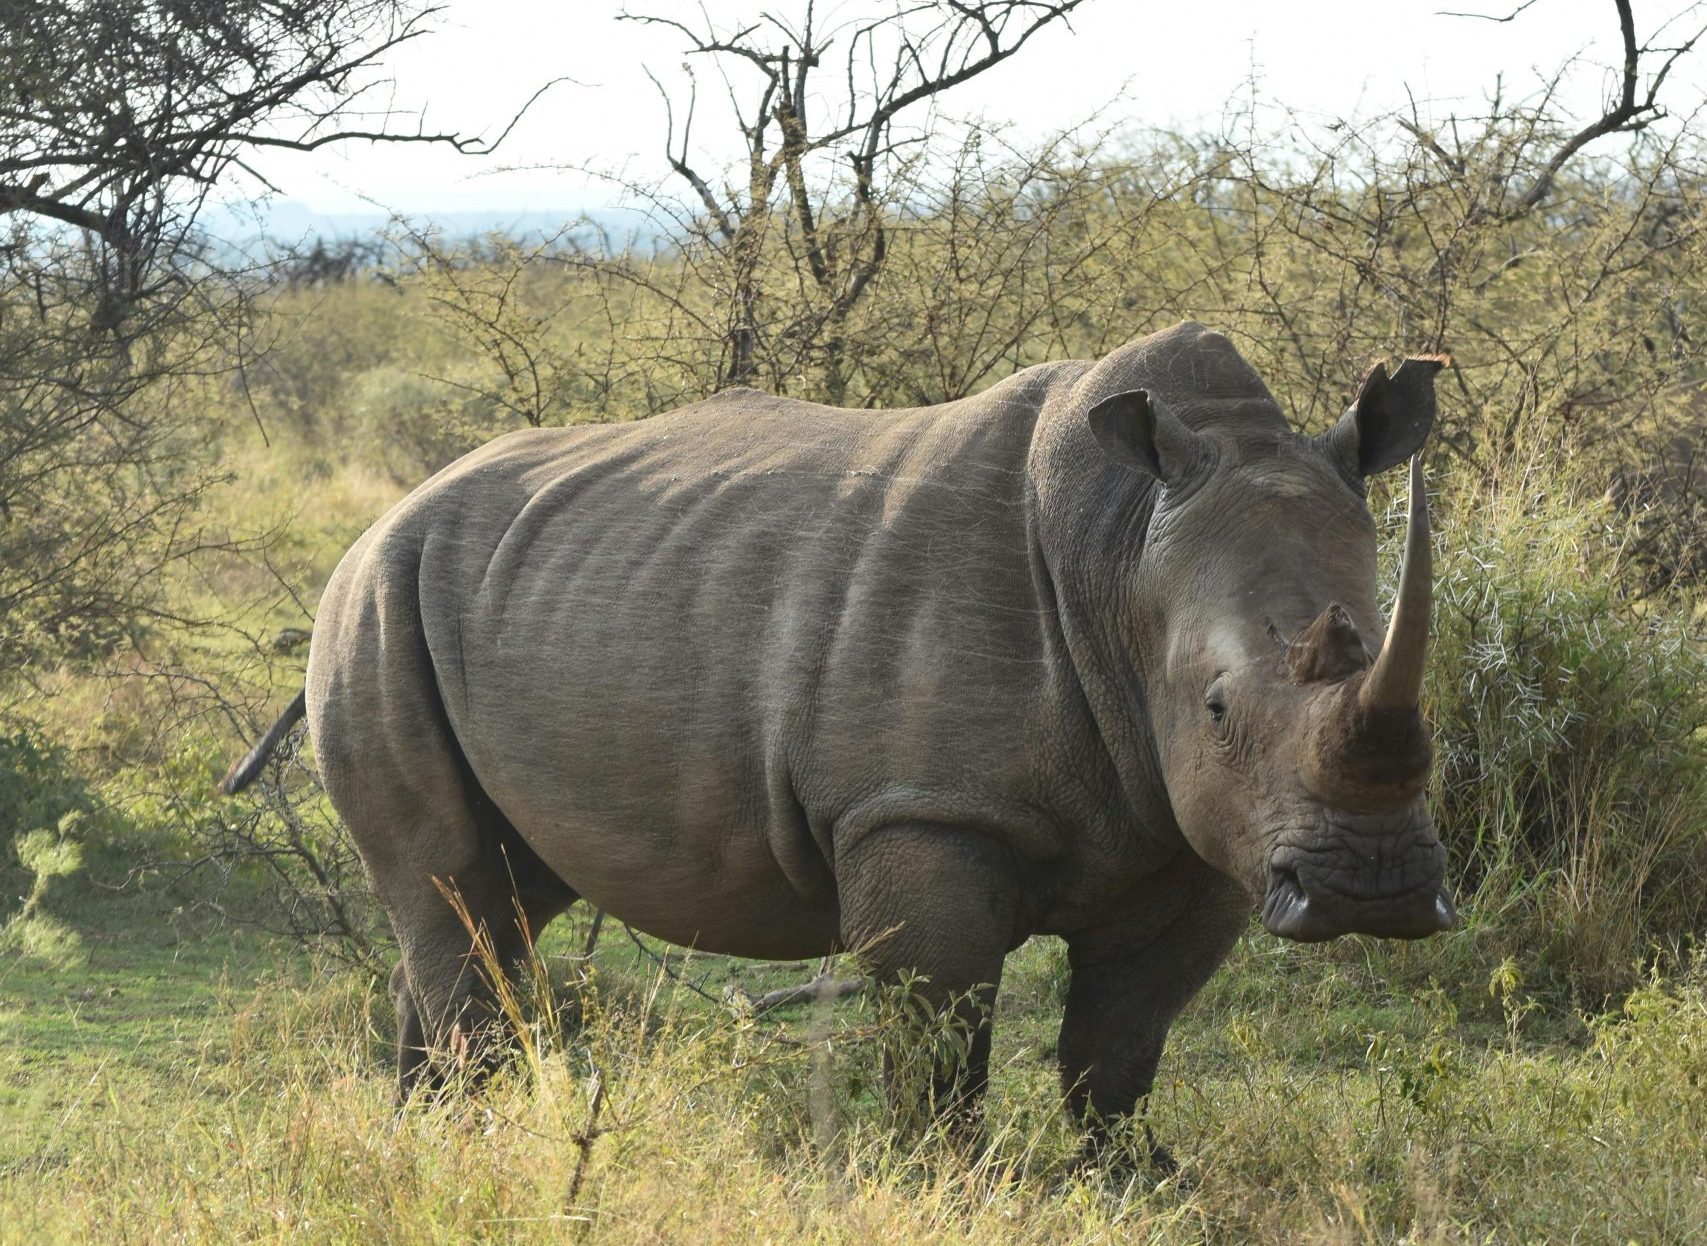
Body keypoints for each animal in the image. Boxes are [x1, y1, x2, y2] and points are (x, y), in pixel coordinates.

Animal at [223, 321, 1454, 1155]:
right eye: (1216, 705)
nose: (1374, 889)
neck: (1123, 553)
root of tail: (384, 514)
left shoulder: (1201, 830)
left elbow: (1117, 1051)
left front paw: (1131, 1182)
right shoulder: (921, 811)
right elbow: (938, 1042)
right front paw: (944, 1186)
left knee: (499, 903)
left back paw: (422, 1143)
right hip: (372, 604)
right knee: (456, 898)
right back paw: (459, 1149)